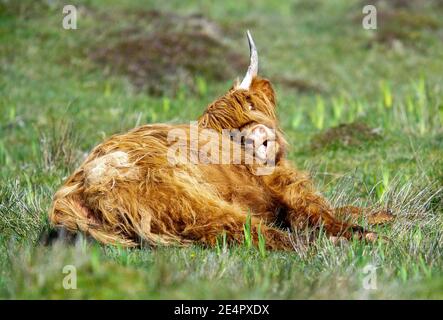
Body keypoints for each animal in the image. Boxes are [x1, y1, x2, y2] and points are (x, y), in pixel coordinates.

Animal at [48, 31, 392, 250]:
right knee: (253, 232)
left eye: (250, 107)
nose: (258, 140)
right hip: (190, 197)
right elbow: (322, 212)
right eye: (232, 135)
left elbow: (347, 207)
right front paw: (365, 229)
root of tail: (81, 187)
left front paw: (386, 215)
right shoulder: (289, 192)